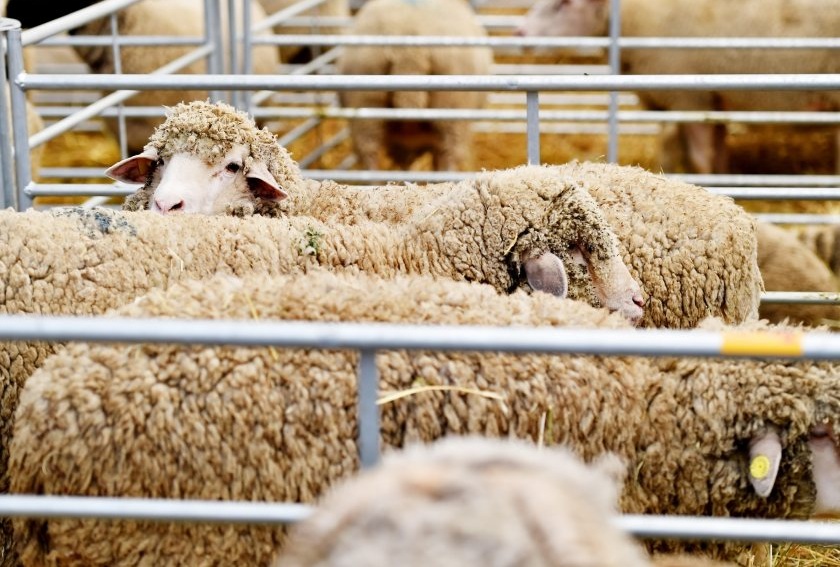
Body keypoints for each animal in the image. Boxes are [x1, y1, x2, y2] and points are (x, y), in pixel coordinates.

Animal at [516, 0, 840, 174]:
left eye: (566, 2)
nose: (519, 32)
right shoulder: (706, 99)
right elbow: (708, 152)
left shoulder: (688, 98)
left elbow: (697, 157)